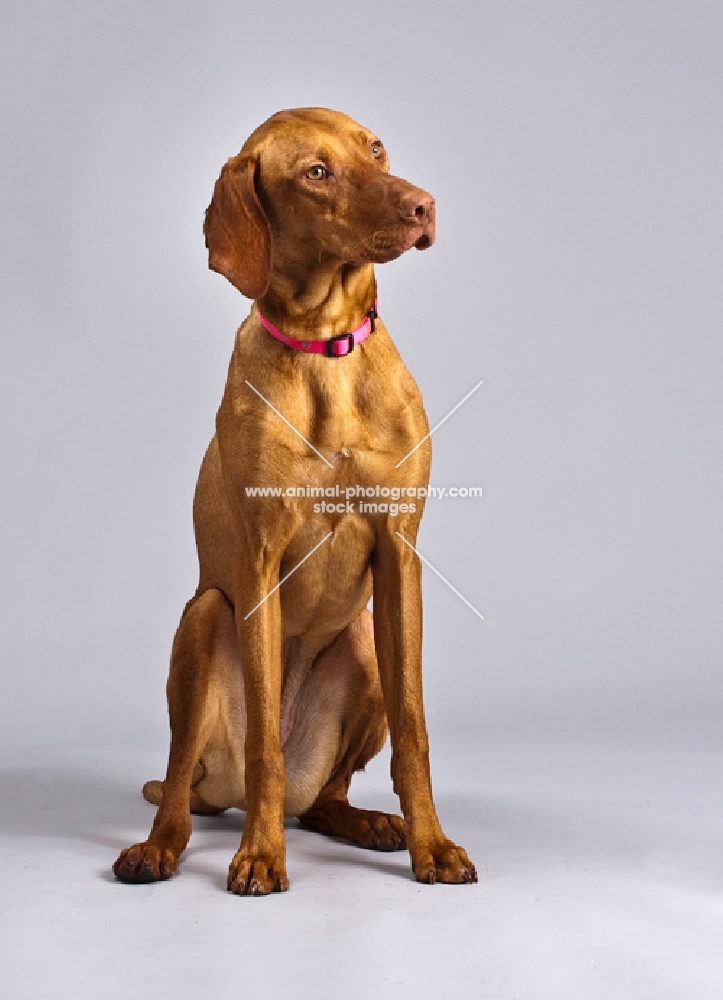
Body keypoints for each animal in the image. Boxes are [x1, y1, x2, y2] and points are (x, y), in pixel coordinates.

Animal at [113, 107, 478, 892]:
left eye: (376, 149)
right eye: (316, 172)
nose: (423, 206)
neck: (324, 351)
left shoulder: (400, 553)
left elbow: (414, 730)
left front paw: (433, 846)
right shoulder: (258, 564)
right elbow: (265, 753)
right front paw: (259, 856)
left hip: (365, 640)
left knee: (321, 800)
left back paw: (366, 822)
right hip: (203, 618)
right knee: (186, 780)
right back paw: (160, 846)